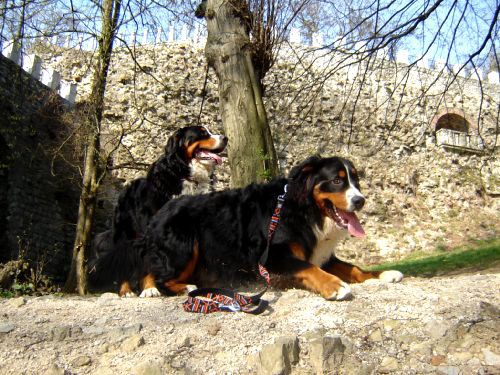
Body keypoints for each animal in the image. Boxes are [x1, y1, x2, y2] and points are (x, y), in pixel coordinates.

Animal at [91, 126, 228, 296]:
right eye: (202, 133)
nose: (225, 138)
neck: (186, 176)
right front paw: (150, 288)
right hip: (124, 234)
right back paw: (127, 290)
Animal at [137, 157, 402, 302]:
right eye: (337, 181)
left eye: (355, 181)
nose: (360, 201)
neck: (304, 210)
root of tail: (160, 212)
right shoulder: (271, 257)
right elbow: (308, 267)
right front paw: (334, 285)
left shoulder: (323, 254)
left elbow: (354, 268)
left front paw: (382, 274)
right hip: (185, 247)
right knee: (160, 275)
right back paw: (173, 288)